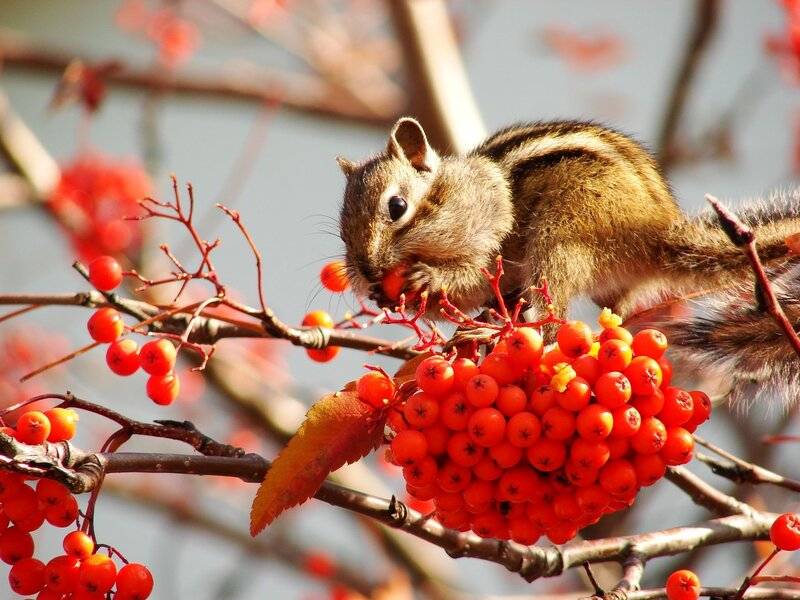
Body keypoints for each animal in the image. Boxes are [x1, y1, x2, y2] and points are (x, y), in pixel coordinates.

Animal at [336, 117, 800, 403]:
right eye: (341, 227)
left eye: (396, 206)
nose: (369, 271)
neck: (449, 192)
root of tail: (659, 234)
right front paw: (386, 294)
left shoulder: (490, 229)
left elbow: (473, 276)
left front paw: (428, 277)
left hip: (561, 236)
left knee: (552, 324)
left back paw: (498, 333)